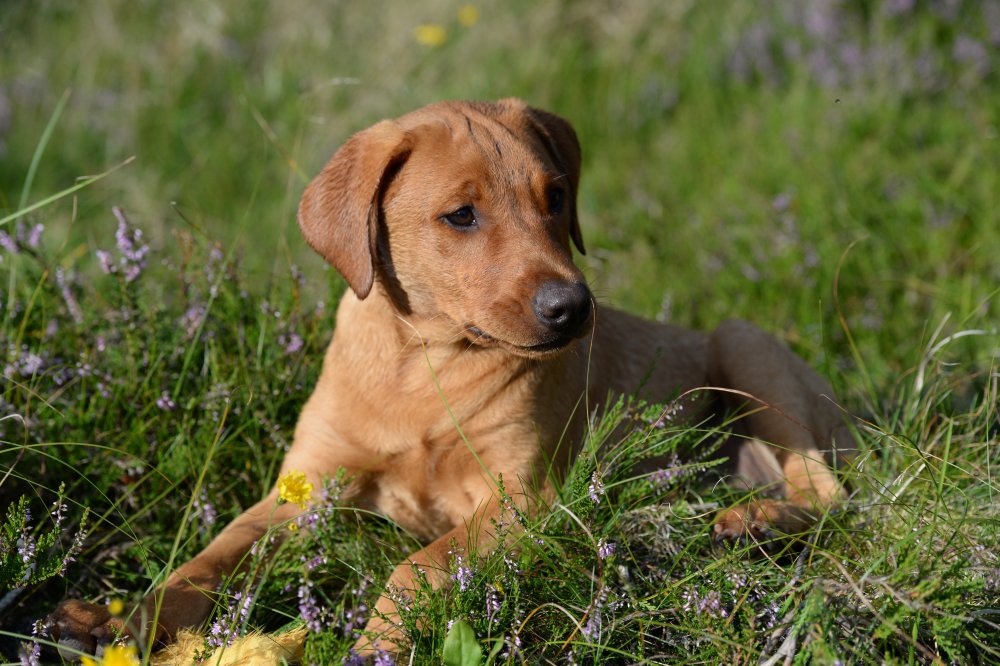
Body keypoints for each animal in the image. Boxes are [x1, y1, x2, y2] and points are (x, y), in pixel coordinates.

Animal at [50, 98, 854, 657]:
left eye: (557, 197)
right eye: (461, 216)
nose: (573, 309)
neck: (424, 366)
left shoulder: (523, 501)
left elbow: (417, 566)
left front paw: (376, 643)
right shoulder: (301, 493)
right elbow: (207, 561)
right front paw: (122, 620)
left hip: (748, 347)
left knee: (831, 493)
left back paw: (753, 521)